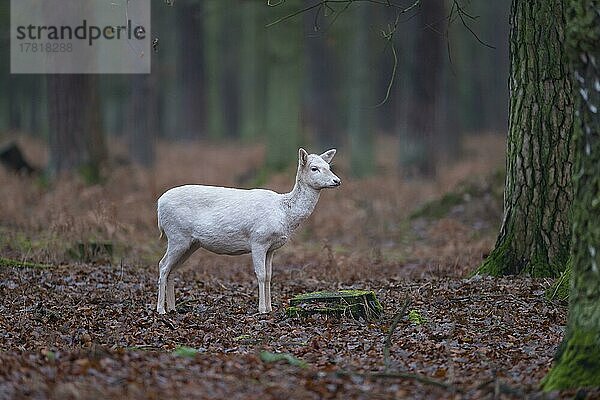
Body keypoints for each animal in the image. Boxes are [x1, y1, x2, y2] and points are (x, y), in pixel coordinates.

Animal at [157, 148, 340, 314]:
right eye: (314, 168)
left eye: (328, 166)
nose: (337, 180)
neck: (284, 212)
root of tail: (158, 205)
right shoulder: (258, 240)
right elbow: (260, 274)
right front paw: (262, 310)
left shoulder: (271, 248)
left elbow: (269, 275)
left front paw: (270, 308)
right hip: (176, 235)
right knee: (163, 265)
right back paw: (161, 309)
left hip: (191, 243)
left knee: (172, 269)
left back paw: (172, 308)